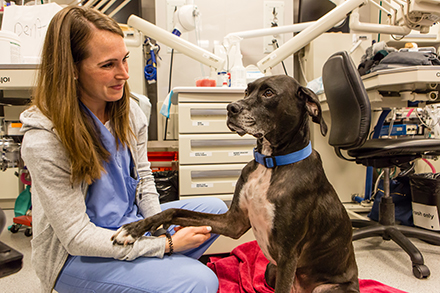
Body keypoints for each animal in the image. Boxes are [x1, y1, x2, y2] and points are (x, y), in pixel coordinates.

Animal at [111, 75, 360, 292]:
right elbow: (173, 210)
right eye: (247, 91)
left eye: (268, 93)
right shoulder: (234, 222)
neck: (270, 164)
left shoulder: (288, 254)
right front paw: (132, 230)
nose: (230, 108)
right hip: (271, 269)